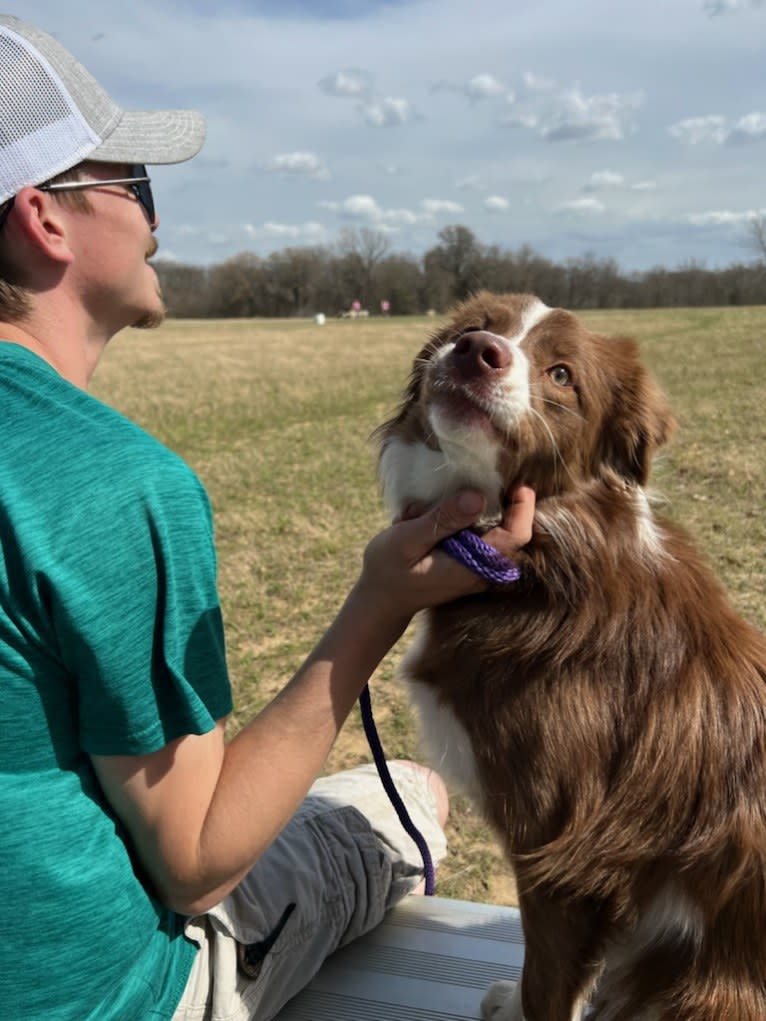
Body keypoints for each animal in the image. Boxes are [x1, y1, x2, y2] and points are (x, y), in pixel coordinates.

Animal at [375, 292, 766, 1021]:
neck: (546, 558)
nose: (477, 352)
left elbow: (546, 980)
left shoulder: (562, 853)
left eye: (562, 375)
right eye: (477, 327)